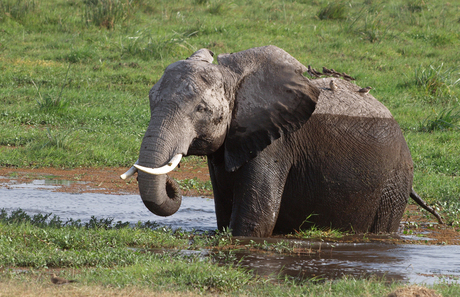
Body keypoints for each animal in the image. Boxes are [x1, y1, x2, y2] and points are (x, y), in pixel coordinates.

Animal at [121, 45, 442, 237]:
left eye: (201, 109)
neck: (235, 78)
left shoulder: (275, 142)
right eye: (151, 100)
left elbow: (253, 222)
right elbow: (225, 215)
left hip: (394, 181)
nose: (173, 185)